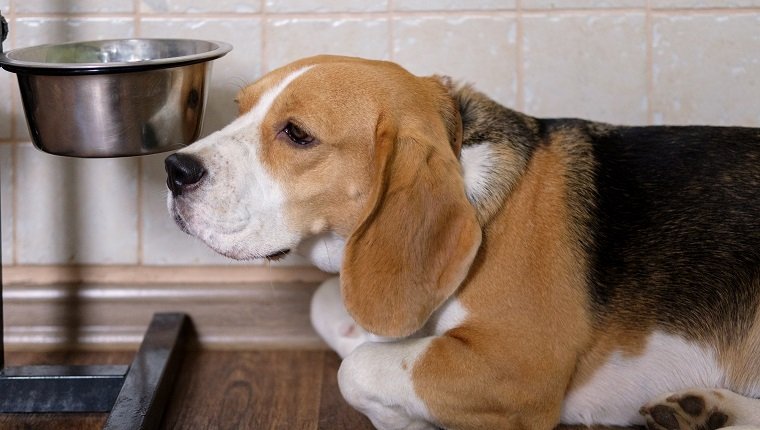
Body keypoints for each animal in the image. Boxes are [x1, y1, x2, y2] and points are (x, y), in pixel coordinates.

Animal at [165, 55, 760, 428]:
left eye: (296, 134)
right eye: (240, 108)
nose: (175, 170)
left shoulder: (519, 366)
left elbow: (356, 368)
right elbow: (332, 311)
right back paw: (705, 411)